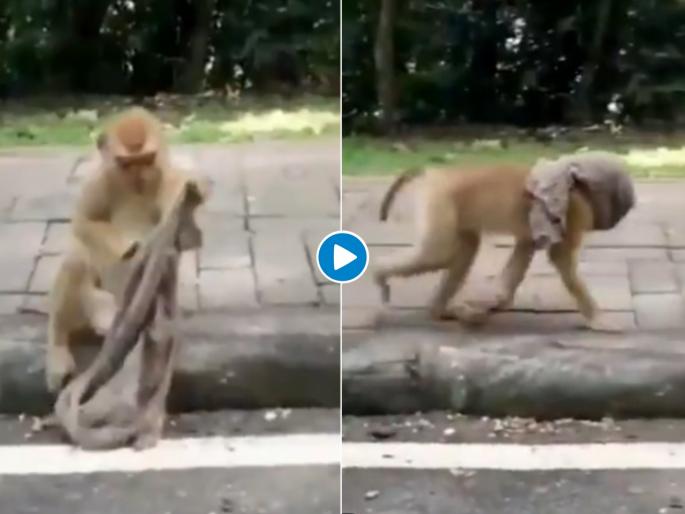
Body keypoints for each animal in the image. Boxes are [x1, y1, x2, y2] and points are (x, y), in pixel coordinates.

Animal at [46, 106, 210, 393]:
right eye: (127, 163)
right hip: (91, 305)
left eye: (147, 159)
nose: (140, 175)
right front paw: (132, 247)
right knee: (76, 264)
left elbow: (179, 235)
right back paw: (60, 345)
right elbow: (84, 222)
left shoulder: (168, 179)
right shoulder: (101, 180)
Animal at [373, 162, 627, 332]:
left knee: (466, 246)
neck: (578, 187)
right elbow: (560, 257)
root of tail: (436, 173)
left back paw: (440, 311)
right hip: (440, 200)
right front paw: (597, 318)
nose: (609, 222)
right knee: (437, 253)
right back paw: (379, 273)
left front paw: (500, 298)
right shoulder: (574, 213)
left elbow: (527, 244)